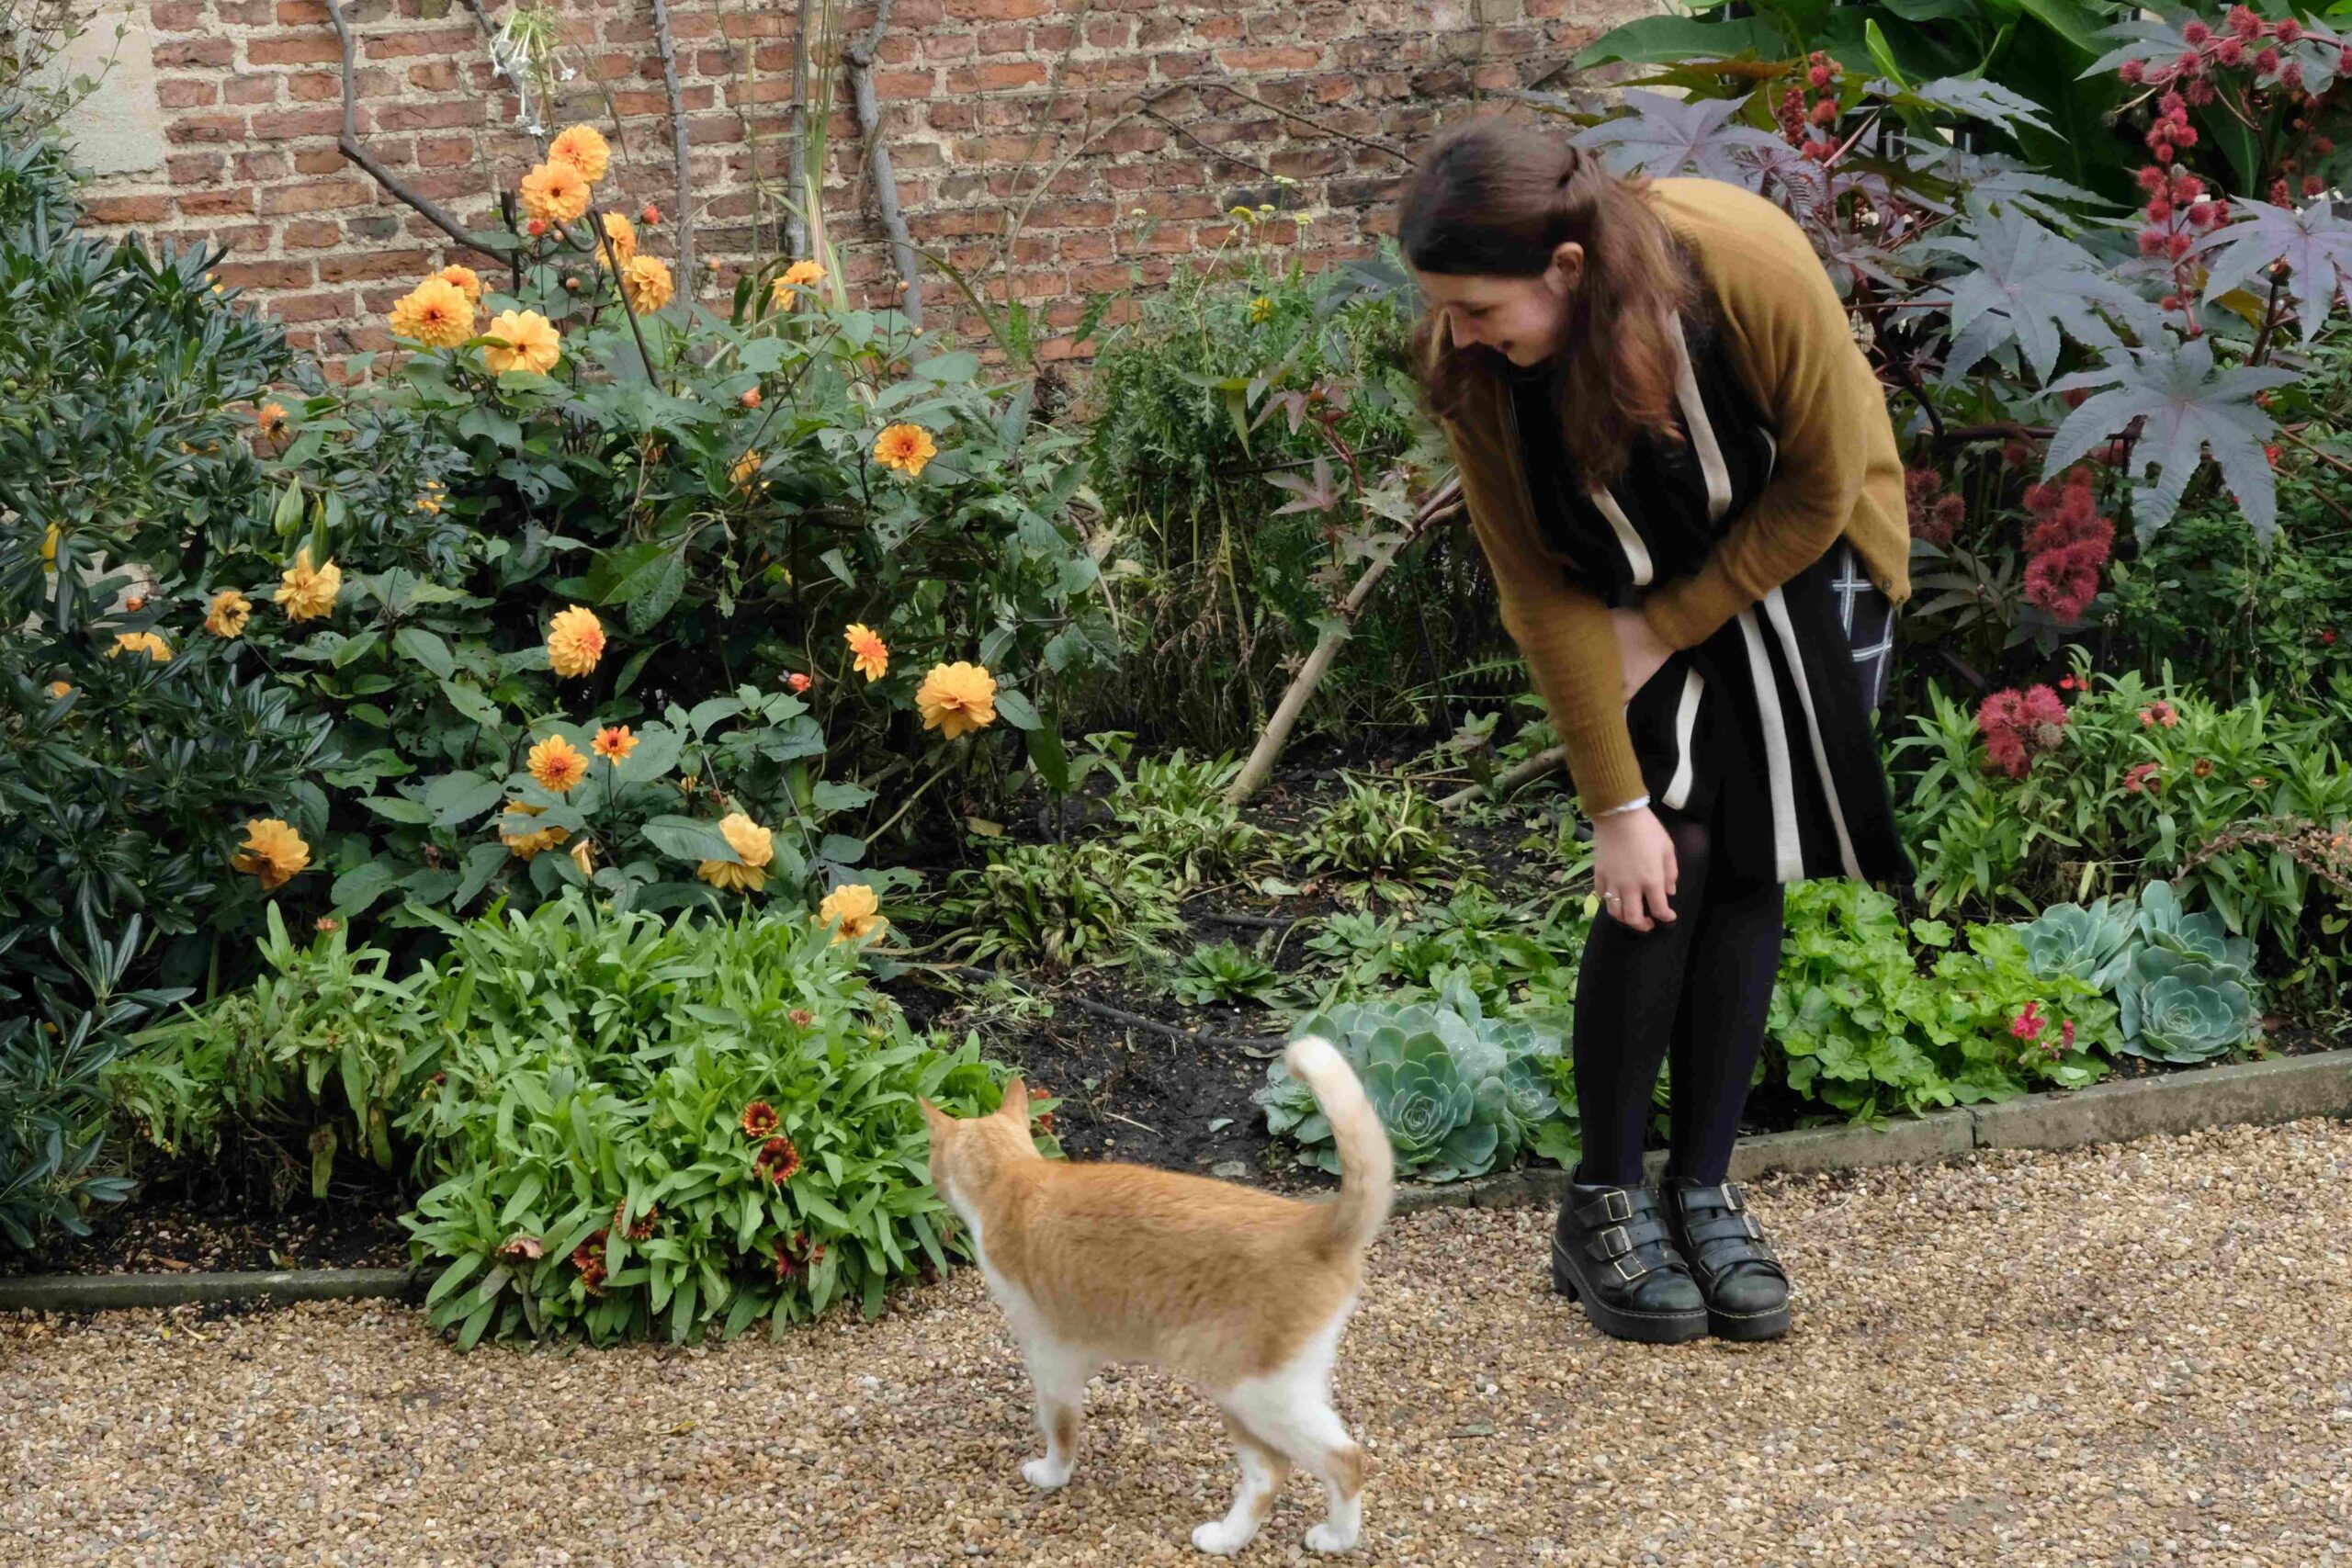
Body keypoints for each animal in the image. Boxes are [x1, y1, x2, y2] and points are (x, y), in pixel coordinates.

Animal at [917, 1034, 1392, 1561]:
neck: (1014, 1177)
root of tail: (1313, 1221)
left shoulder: (1050, 1353)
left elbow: (1059, 1425)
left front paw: (1052, 1474)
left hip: (1254, 1393)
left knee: (1327, 1462)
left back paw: (1285, 1538)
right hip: (1269, 1391)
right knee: (1304, 1464)